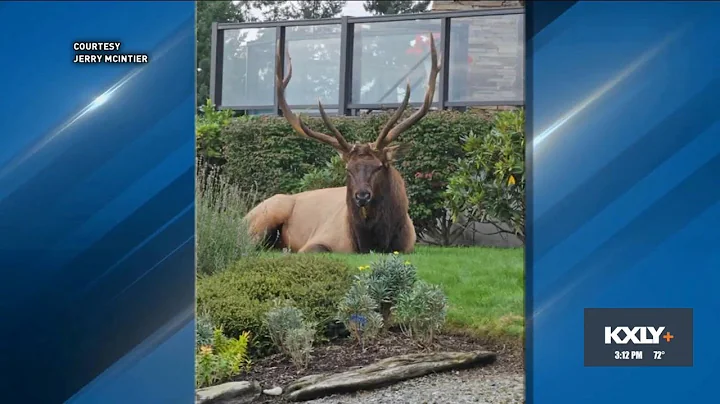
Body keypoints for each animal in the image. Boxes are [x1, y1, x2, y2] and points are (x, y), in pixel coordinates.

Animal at [245, 34, 442, 252]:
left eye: (379, 166)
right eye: (348, 168)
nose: (362, 196)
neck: (371, 243)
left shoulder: (408, 245)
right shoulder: (318, 241)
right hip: (267, 213)